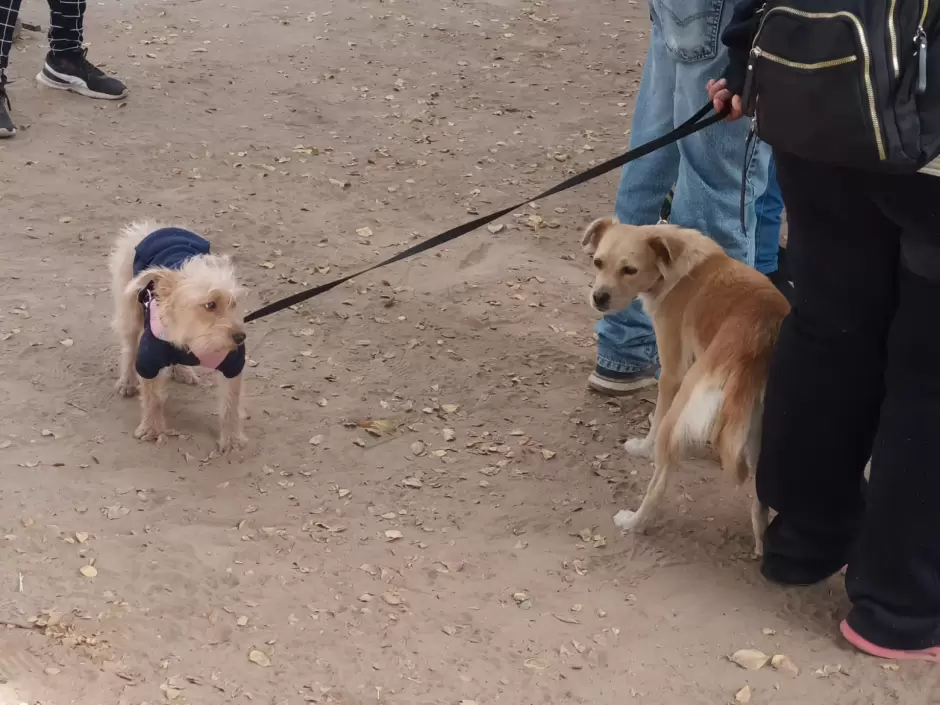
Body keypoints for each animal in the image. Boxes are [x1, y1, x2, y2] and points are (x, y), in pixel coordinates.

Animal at [108, 220, 248, 452]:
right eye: (210, 304)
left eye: (234, 303)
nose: (240, 338)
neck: (193, 338)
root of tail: (153, 229)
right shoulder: (148, 361)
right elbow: (152, 397)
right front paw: (152, 428)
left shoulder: (232, 363)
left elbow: (231, 404)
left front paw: (232, 438)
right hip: (130, 314)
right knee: (129, 348)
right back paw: (127, 381)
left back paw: (183, 370)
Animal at [584, 217, 788, 552]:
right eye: (598, 262)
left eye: (630, 270)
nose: (598, 297)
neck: (673, 263)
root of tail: (762, 338)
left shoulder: (672, 373)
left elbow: (655, 423)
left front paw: (642, 448)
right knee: (761, 504)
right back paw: (761, 547)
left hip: (682, 408)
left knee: (657, 485)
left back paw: (634, 522)